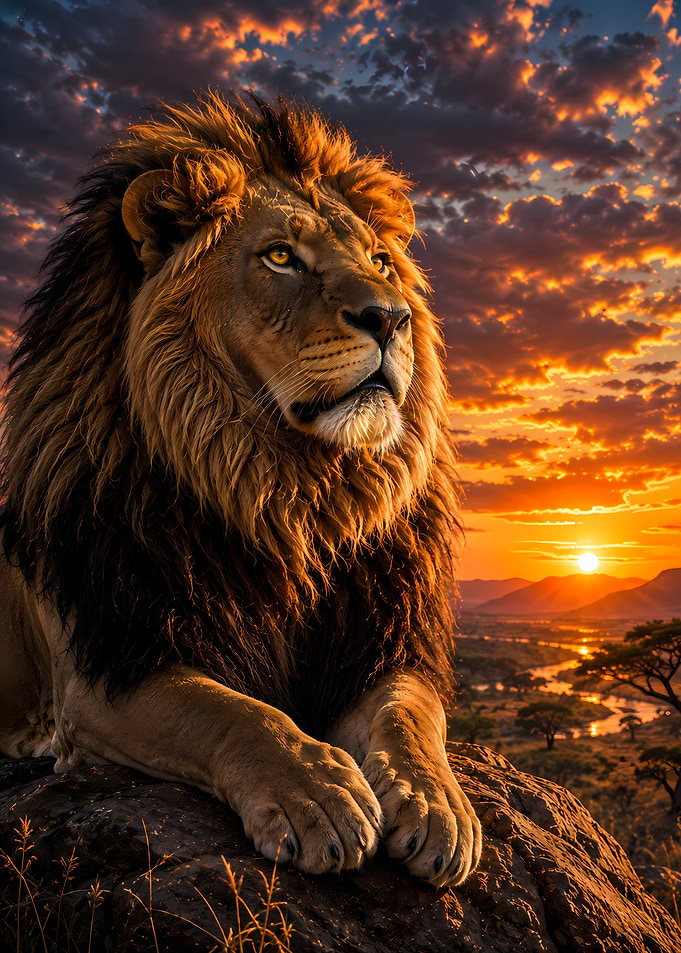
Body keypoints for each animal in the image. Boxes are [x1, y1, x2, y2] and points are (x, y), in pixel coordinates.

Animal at [0, 93, 481, 888]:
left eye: (381, 262)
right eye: (281, 256)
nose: (392, 317)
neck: (287, 492)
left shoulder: (380, 638)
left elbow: (409, 717)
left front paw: (435, 803)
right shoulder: (108, 663)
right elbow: (231, 713)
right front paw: (317, 795)